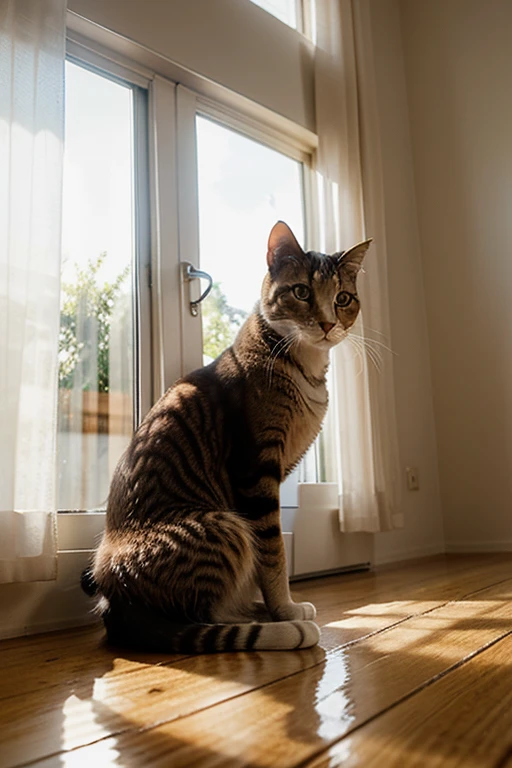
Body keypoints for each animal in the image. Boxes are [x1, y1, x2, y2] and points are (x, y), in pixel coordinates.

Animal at [82, 219, 370, 652]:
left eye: (343, 298)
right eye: (302, 292)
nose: (326, 324)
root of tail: (116, 605)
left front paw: (281, 606)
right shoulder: (257, 471)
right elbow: (273, 552)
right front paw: (284, 608)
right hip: (223, 526)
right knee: (207, 616)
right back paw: (281, 627)